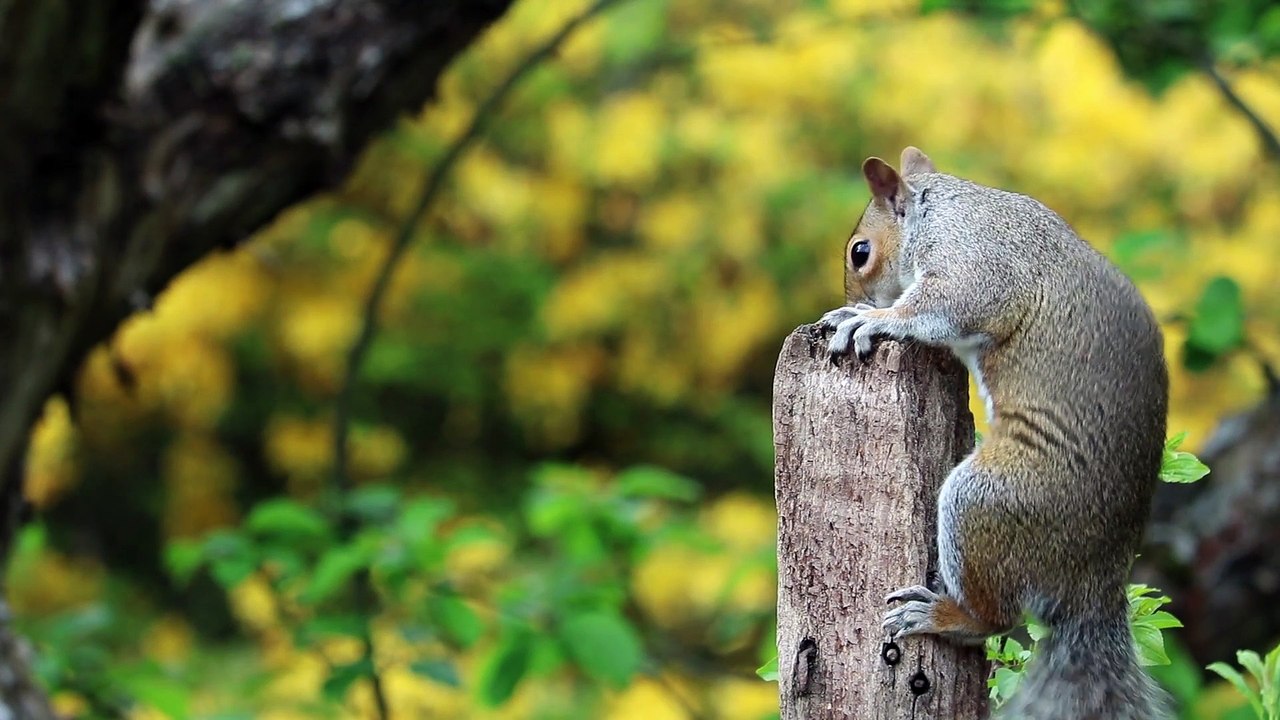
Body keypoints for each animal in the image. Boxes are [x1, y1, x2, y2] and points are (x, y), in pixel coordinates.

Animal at [818, 147, 1171, 720]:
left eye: (860, 252)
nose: (854, 294)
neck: (941, 209)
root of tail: (1094, 579)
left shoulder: (976, 264)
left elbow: (944, 307)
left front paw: (869, 316)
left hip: (988, 499)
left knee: (996, 619)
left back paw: (944, 616)